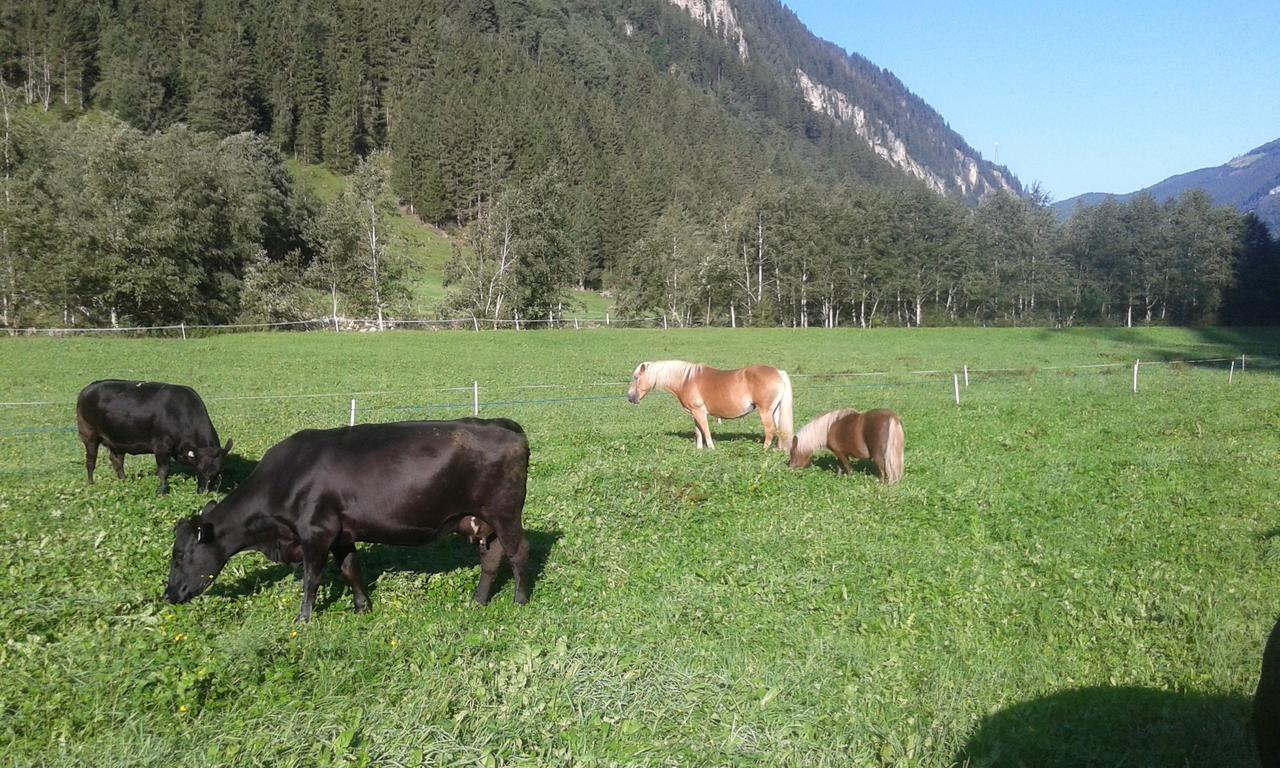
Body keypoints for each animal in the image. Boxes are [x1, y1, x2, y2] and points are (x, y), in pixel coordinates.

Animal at [75, 378, 232, 499]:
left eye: (218, 471)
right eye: (199, 470)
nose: (204, 492)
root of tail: (88, 388)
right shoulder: (162, 447)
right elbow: (163, 471)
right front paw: (162, 492)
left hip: (117, 439)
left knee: (117, 460)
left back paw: (124, 481)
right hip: (89, 435)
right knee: (91, 460)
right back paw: (91, 483)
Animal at [166, 417, 535, 622]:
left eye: (180, 556)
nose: (170, 595)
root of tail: (500, 423)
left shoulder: (315, 532)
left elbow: (311, 578)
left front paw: (303, 619)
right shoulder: (341, 534)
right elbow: (351, 570)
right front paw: (362, 607)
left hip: (504, 513)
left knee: (519, 553)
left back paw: (520, 601)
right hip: (482, 520)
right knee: (492, 558)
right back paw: (479, 601)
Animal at [627, 360, 793, 450]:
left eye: (636, 377)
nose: (630, 398)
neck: (686, 380)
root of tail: (778, 372)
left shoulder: (700, 412)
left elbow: (706, 431)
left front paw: (711, 448)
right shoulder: (694, 413)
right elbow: (698, 432)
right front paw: (699, 450)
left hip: (765, 411)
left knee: (770, 430)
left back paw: (763, 450)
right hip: (775, 411)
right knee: (780, 430)